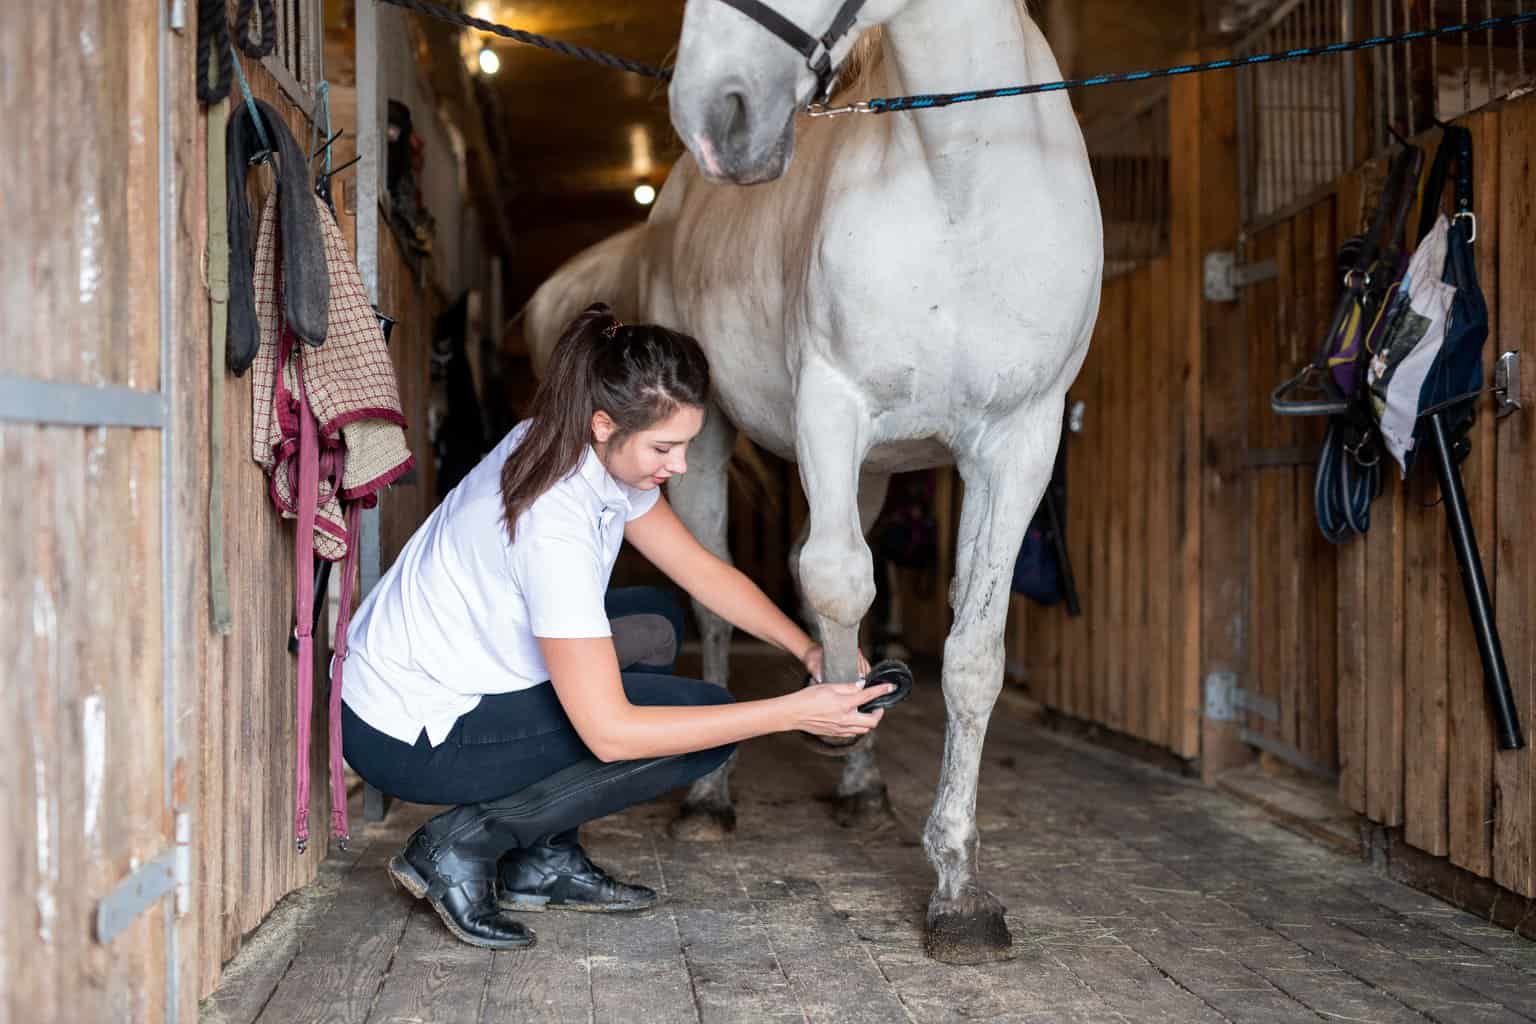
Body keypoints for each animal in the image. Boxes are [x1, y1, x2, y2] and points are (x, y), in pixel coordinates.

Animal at [522, 0, 1099, 964]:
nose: (713, 115)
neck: (962, 188)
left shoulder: (1019, 441)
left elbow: (972, 655)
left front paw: (959, 889)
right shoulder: (833, 405)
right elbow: (833, 584)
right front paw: (835, 713)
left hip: (869, 475)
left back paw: (858, 786)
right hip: (707, 451)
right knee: (723, 599)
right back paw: (712, 797)